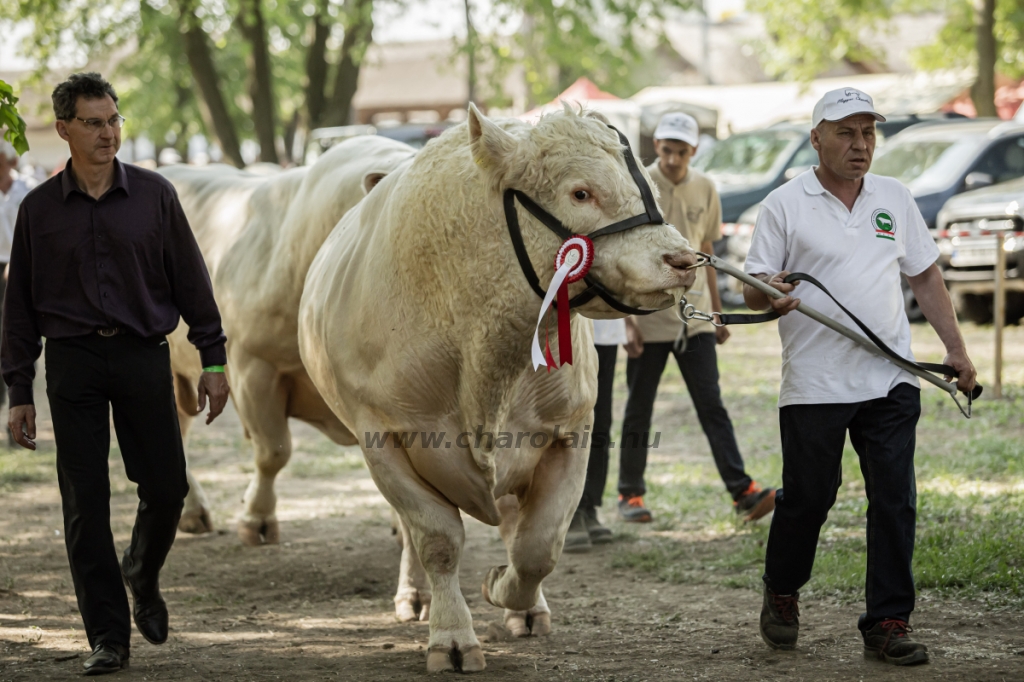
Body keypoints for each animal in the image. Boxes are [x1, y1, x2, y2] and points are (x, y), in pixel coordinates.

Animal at [296, 106, 696, 667]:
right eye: (580, 192)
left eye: (649, 189)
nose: (683, 260)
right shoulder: (383, 438)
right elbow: (437, 539)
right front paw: (451, 636)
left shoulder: (570, 431)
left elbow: (538, 545)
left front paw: (506, 590)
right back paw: (415, 594)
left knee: (513, 525)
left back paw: (525, 608)